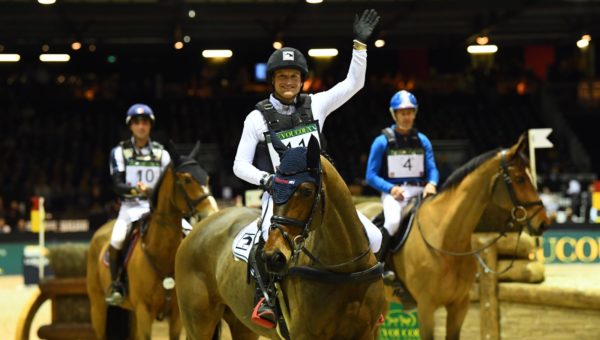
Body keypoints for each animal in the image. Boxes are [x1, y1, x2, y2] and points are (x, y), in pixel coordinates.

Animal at [85, 142, 219, 338]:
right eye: (187, 180)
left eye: (207, 178)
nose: (211, 213)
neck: (161, 253)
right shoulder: (144, 312)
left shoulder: (176, 316)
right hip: (98, 306)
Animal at [176, 137, 386, 340]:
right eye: (272, 189)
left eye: (307, 191)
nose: (273, 257)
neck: (345, 269)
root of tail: (198, 227)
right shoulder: (305, 335)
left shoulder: (367, 333)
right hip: (199, 323)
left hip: (241, 324)